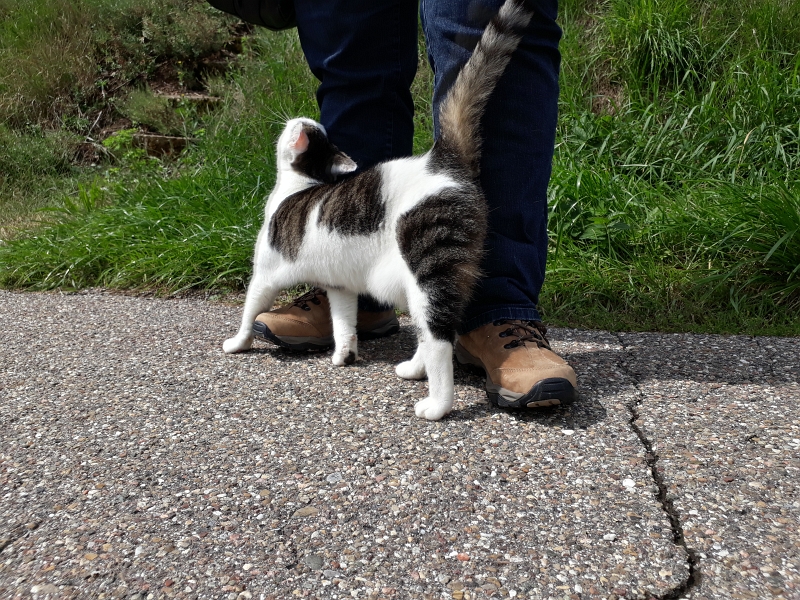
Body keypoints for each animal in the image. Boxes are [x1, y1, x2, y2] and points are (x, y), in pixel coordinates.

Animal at [225, 0, 536, 422]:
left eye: (304, 129)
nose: (300, 118)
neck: (301, 185)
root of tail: (444, 159)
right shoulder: (340, 287)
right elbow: (344, 322)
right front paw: (344, 354)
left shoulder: (266, 273)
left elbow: (250, 309)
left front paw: (237, 343)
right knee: (439, 328)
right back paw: (413, 368)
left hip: (427, 267)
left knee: (440, 337)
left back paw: (437, 404)